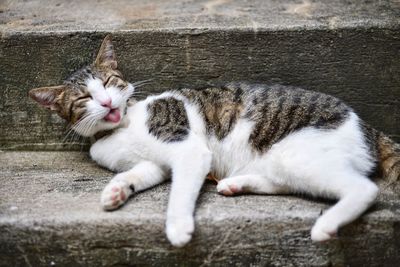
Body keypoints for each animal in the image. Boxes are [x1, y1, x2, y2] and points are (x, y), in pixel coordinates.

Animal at [28, 35, 400, 249]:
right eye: (84, 99)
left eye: (108, 82)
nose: (106, 104)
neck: (120, 128)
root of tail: (368, 128)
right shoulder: (155, 164)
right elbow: (136, 173)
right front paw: (117, 190)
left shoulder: (189, 150)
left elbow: (179, 192)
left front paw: (178, 227)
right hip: (286, 161)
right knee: (289, 183)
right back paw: (236, 184)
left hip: (299, 154)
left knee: (364, 189)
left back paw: (325, 225)